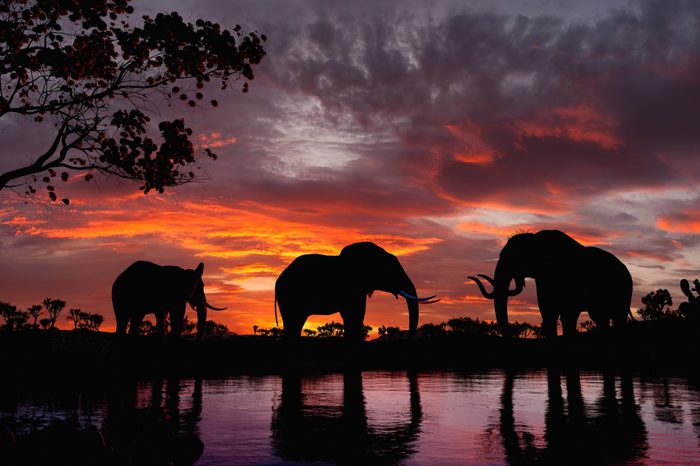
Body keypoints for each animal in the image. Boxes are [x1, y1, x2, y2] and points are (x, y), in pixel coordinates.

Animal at [274, 242, 438, 340]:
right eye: (389, 269)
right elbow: (354, 314)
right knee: (293, 321)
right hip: (289, 296)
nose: (409, 337)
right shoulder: (351, 287)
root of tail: (277, 281)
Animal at [470, 230, 636, 336]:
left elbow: (569, 314)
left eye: (514, 258)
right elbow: (548, 313)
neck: (535, 239)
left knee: (618, 318)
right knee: (601, 318)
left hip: (625, 289)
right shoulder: (543, 279)